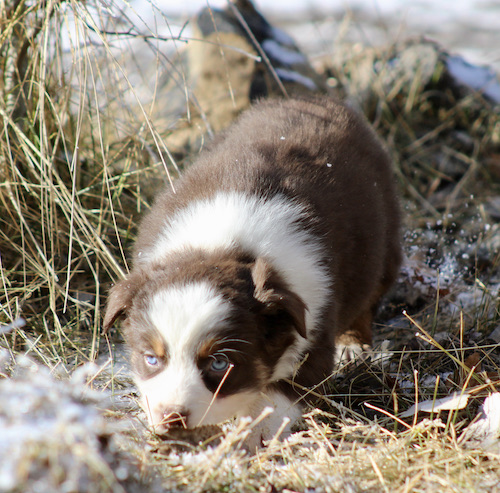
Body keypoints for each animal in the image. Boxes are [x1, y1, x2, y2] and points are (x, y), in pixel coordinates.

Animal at [103, 96, 401, 446]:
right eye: (151, 359)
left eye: (219, 363)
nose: (171, 416)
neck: (223, 246)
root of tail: (316, 100)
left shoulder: (314, 332)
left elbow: (277, 397)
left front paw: (249, 437)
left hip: (384, 242)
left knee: (368, 297)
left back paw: (353, 346)